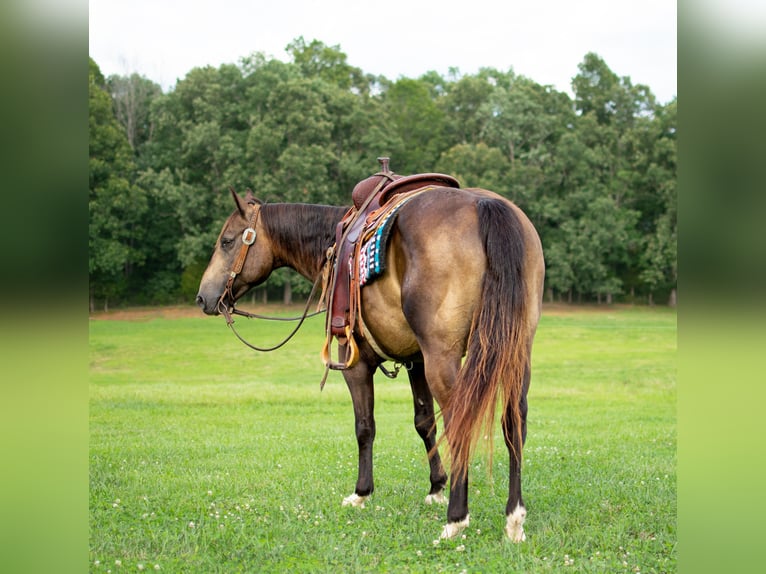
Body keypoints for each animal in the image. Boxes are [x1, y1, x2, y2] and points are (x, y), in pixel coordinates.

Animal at [198, 172, 544, 544]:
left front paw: (362, 492)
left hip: (445, 357)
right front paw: (436, 486)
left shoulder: (355, 360)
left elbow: (365, 426)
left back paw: (456, 519)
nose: (203, 297)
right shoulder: (416, 360)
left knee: (460, 423)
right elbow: (424, 422)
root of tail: (484, 205)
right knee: (513, 423)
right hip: (515, 353)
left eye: (226, 242)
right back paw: (514, 517)